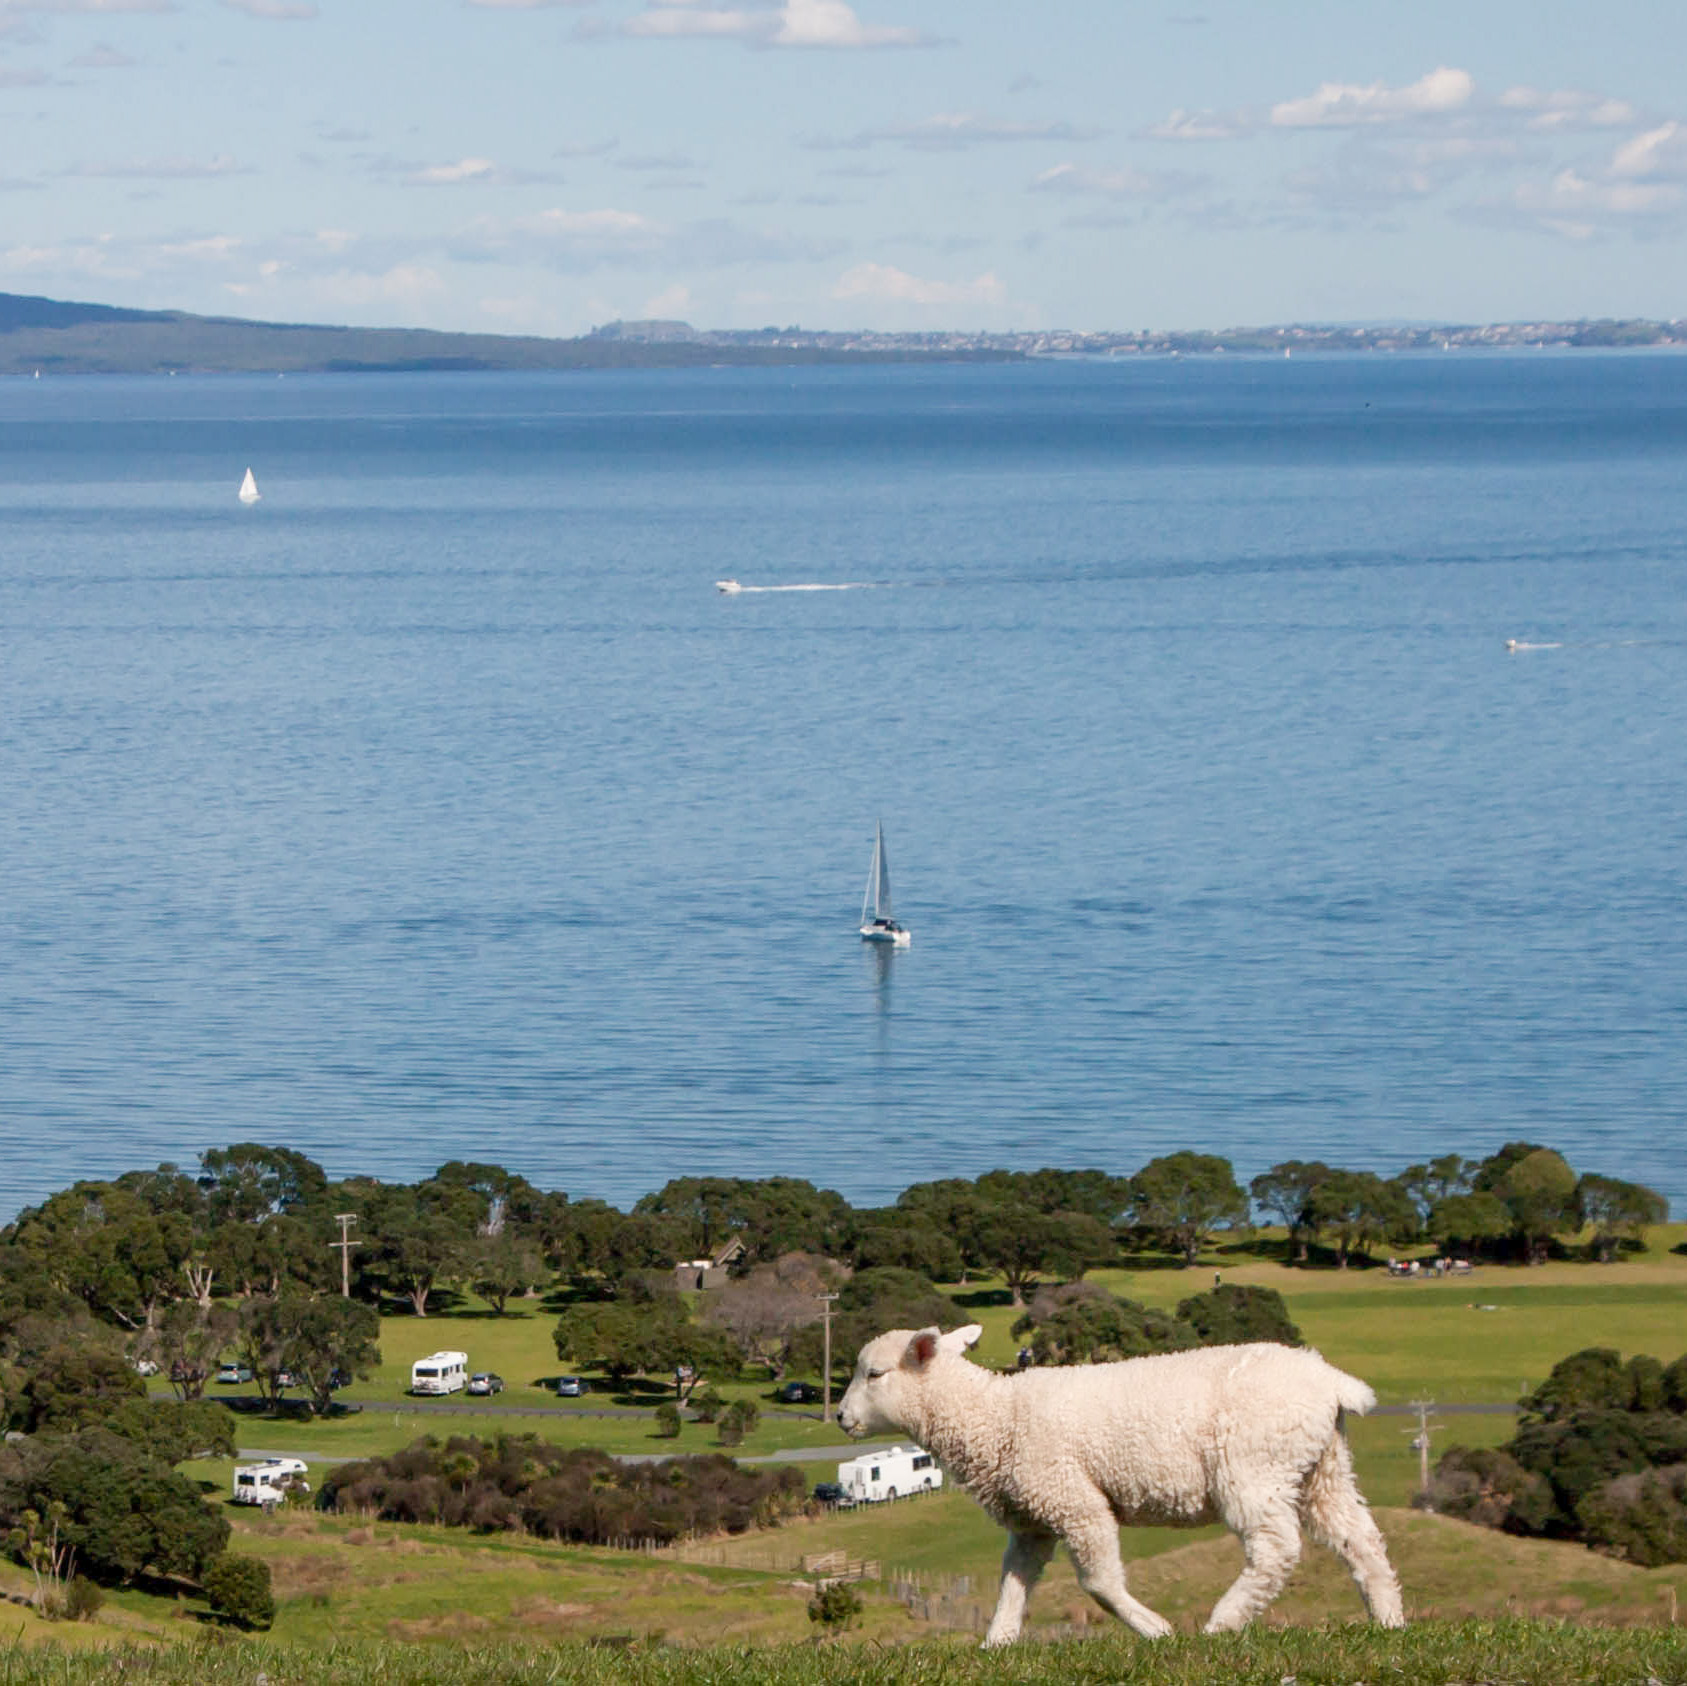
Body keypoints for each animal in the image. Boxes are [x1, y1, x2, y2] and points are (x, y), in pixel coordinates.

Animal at [836, 1324, 1404, 1647]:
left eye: (874, 1374)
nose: (840, 1417)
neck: (994, 1416)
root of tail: (1329, 1380)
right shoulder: (1032, 1519)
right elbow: (1013, 1584)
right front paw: (997, 1643)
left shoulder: (1075, 1502)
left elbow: (1100, 1585)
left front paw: (1156, 1631)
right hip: (1320, 1468)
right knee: (1360, 1539)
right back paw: (1389, 1620)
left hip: (1254, 1467)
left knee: (1276, 1550)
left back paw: (1223, 1624)